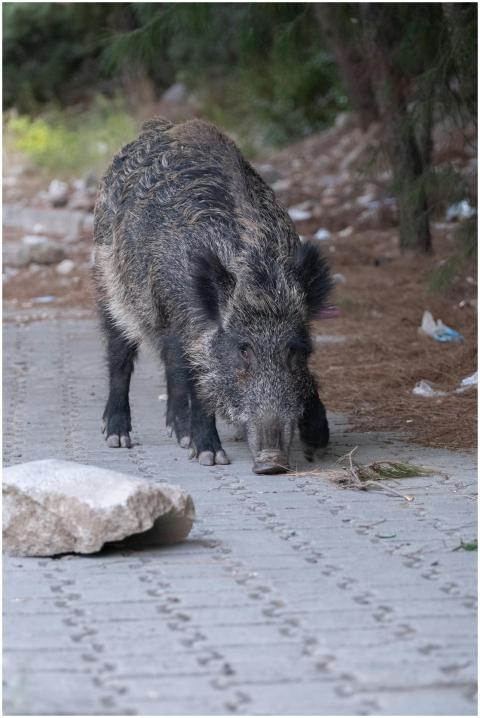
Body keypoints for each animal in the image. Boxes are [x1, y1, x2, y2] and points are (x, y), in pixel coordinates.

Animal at [93, 117, 332, 474]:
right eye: (243, 350)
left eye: (295, 351)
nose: (272, 463)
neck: (261, 282)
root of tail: (154, 127)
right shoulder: (189, 322)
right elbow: (200, 381)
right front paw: (210, 457)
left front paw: (318, 440)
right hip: (110, 285)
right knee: (120, 354)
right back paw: (118, 437)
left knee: (172, 364)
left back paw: (179, 435)